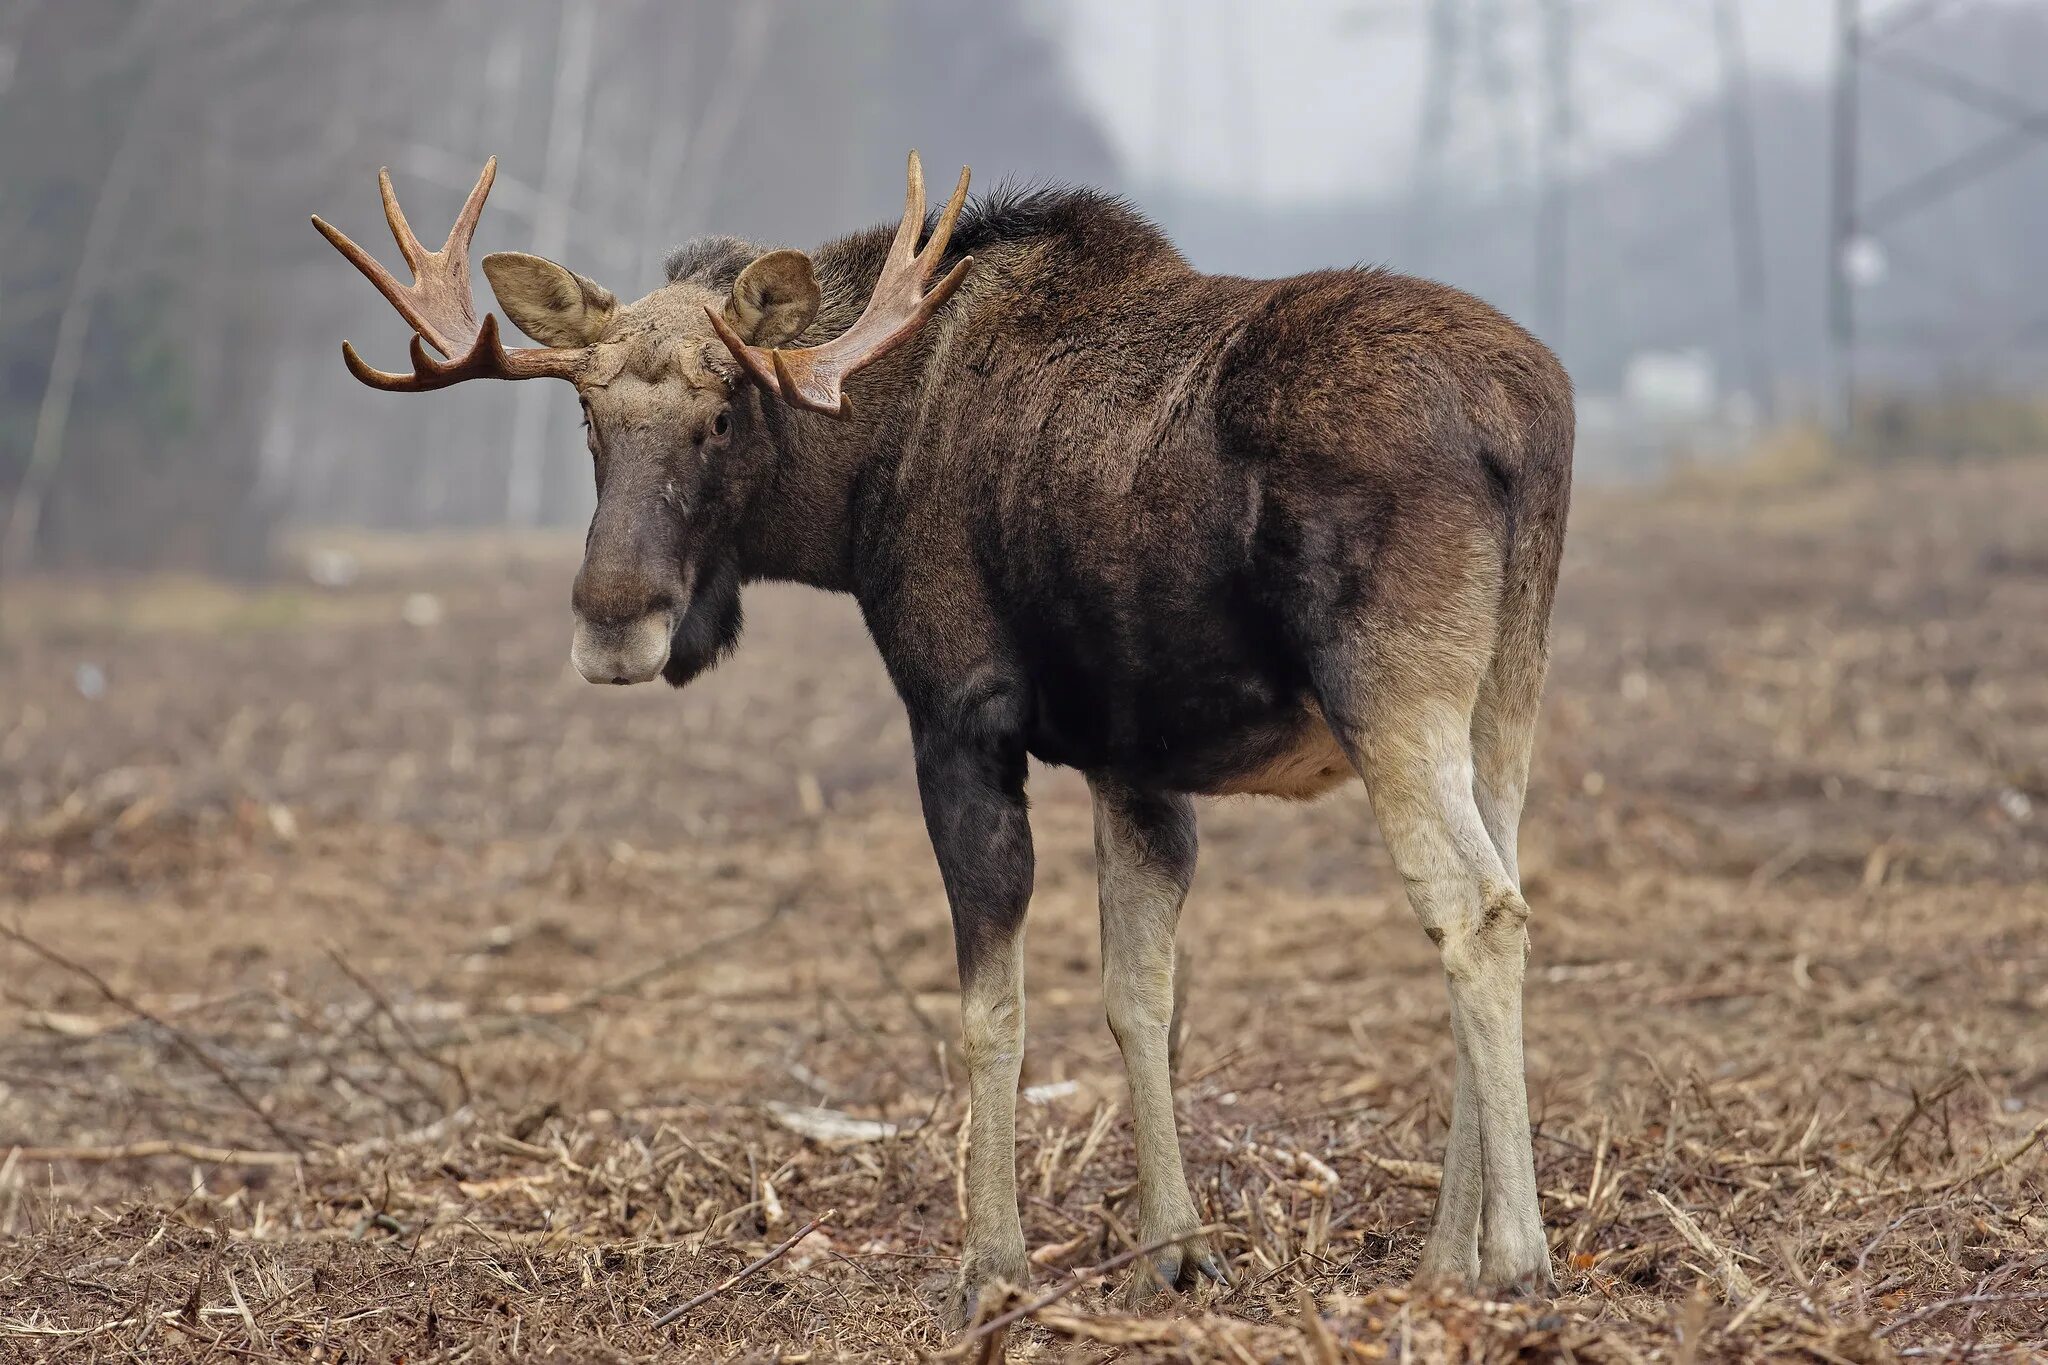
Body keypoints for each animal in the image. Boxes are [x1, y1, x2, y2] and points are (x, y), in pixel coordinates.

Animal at [315, 149, 1564, 1326]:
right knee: (1503, 887)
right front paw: (1173, 1251)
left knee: (1473, 910)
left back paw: (1514, 1256)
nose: (614, 621)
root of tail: (1524, 420)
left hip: (1390, 691)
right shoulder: (1132, 762)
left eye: (721, 416)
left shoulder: (959, 718)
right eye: (587, 416)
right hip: (1502, 700)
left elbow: (989, 1011)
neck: (854, 484)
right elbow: (1138, 999)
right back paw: (1447, 1257)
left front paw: (990, 1264)